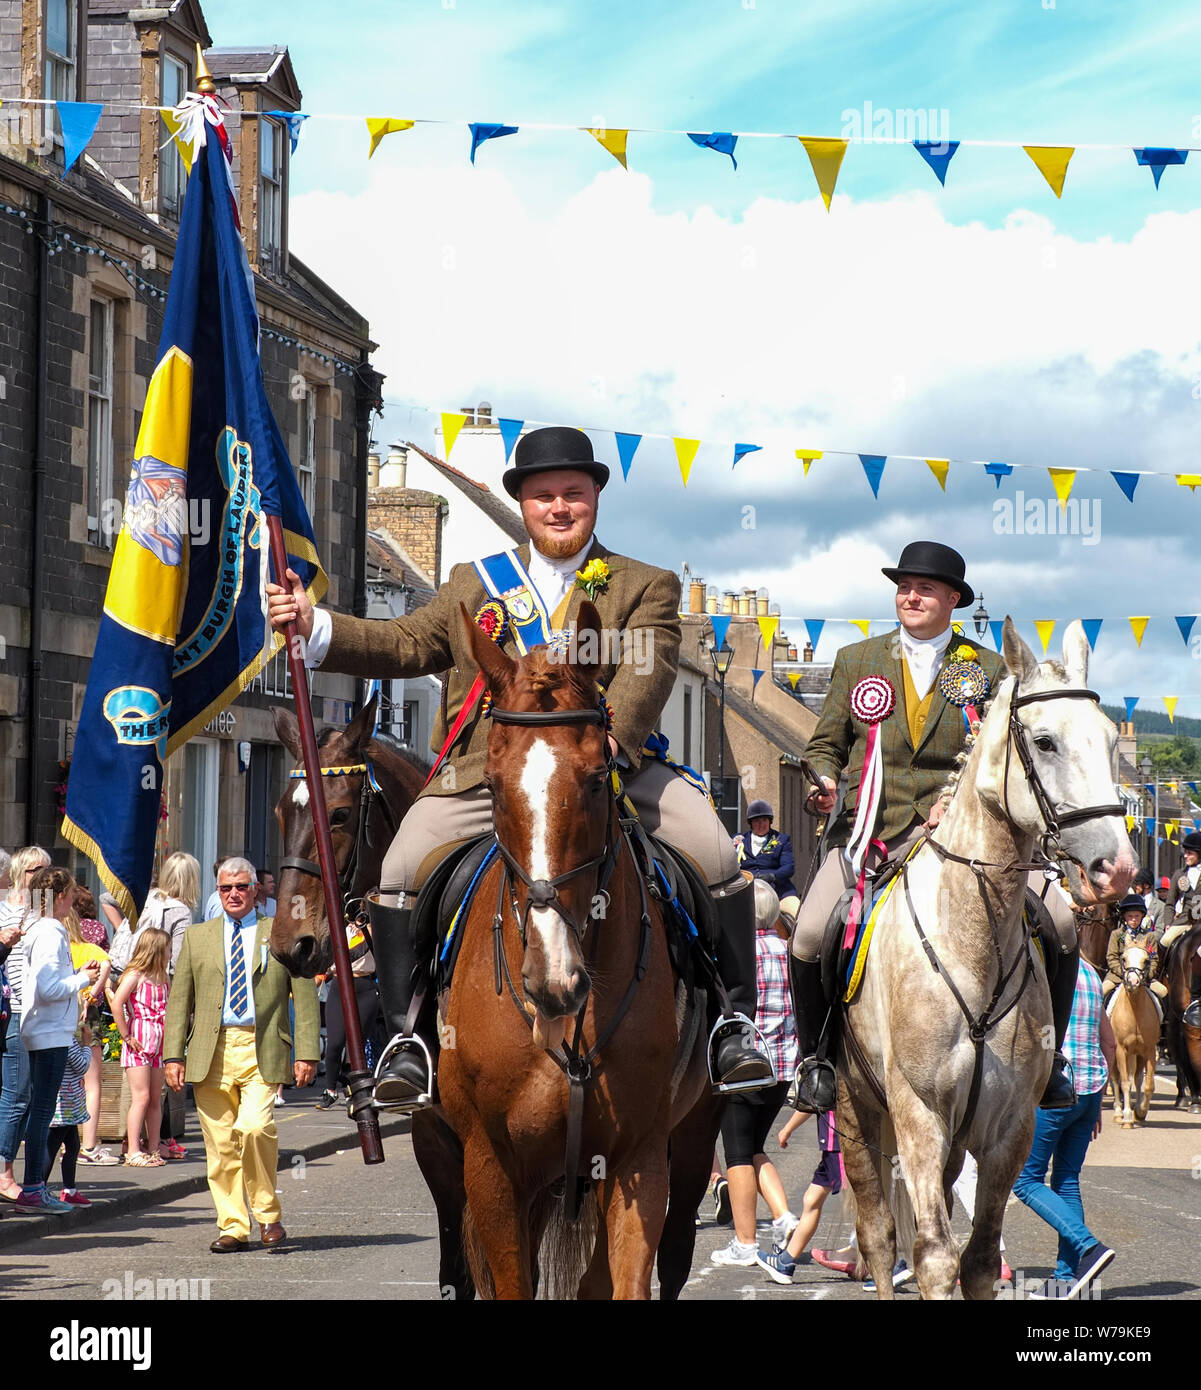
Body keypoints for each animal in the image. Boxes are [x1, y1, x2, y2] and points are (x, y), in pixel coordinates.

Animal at [442, 600, 722, 1301]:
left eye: (599, 780)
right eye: (492, 786)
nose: (554, 981)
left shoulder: (637, 1162)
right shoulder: (492, 1169)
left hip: (689, 1142)